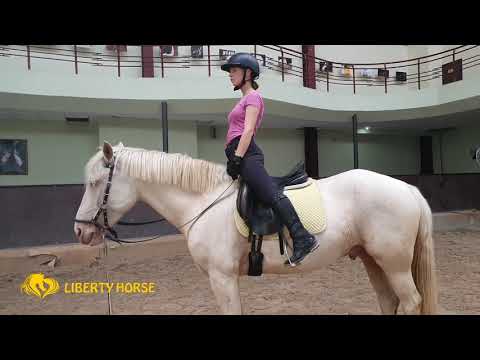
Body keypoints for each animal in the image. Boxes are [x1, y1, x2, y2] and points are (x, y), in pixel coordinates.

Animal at [74, 142, 438, 314]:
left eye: (94, 183)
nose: (81, 232)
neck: (203, 200)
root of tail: (408, 189)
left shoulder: (221, 277)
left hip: (394, 263)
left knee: (410, 301)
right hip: (372, 259)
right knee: (390, 301)